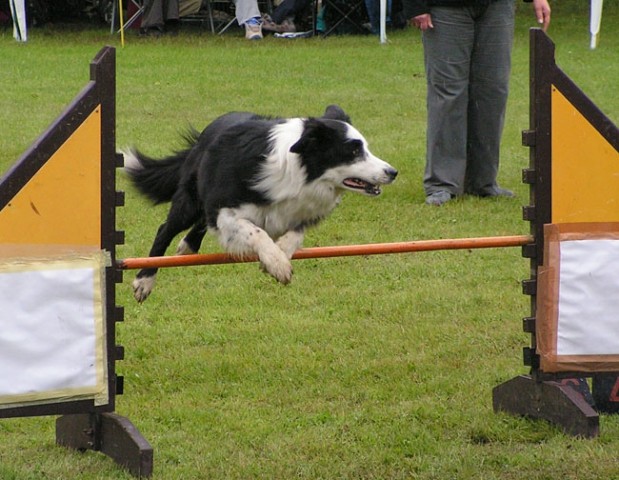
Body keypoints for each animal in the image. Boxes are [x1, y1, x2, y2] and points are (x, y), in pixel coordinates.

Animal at [123, 105, 400, 302]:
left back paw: (188, 246)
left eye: (365, 148)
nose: (392, 172)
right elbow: (255, 231)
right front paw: (277, 264)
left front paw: (279, 256)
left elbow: (295, 235)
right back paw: (145, 280)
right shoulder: (228, 211)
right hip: (190, 199)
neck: (297, 170)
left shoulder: (302, 212)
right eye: (353, 151)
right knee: (167, 229)